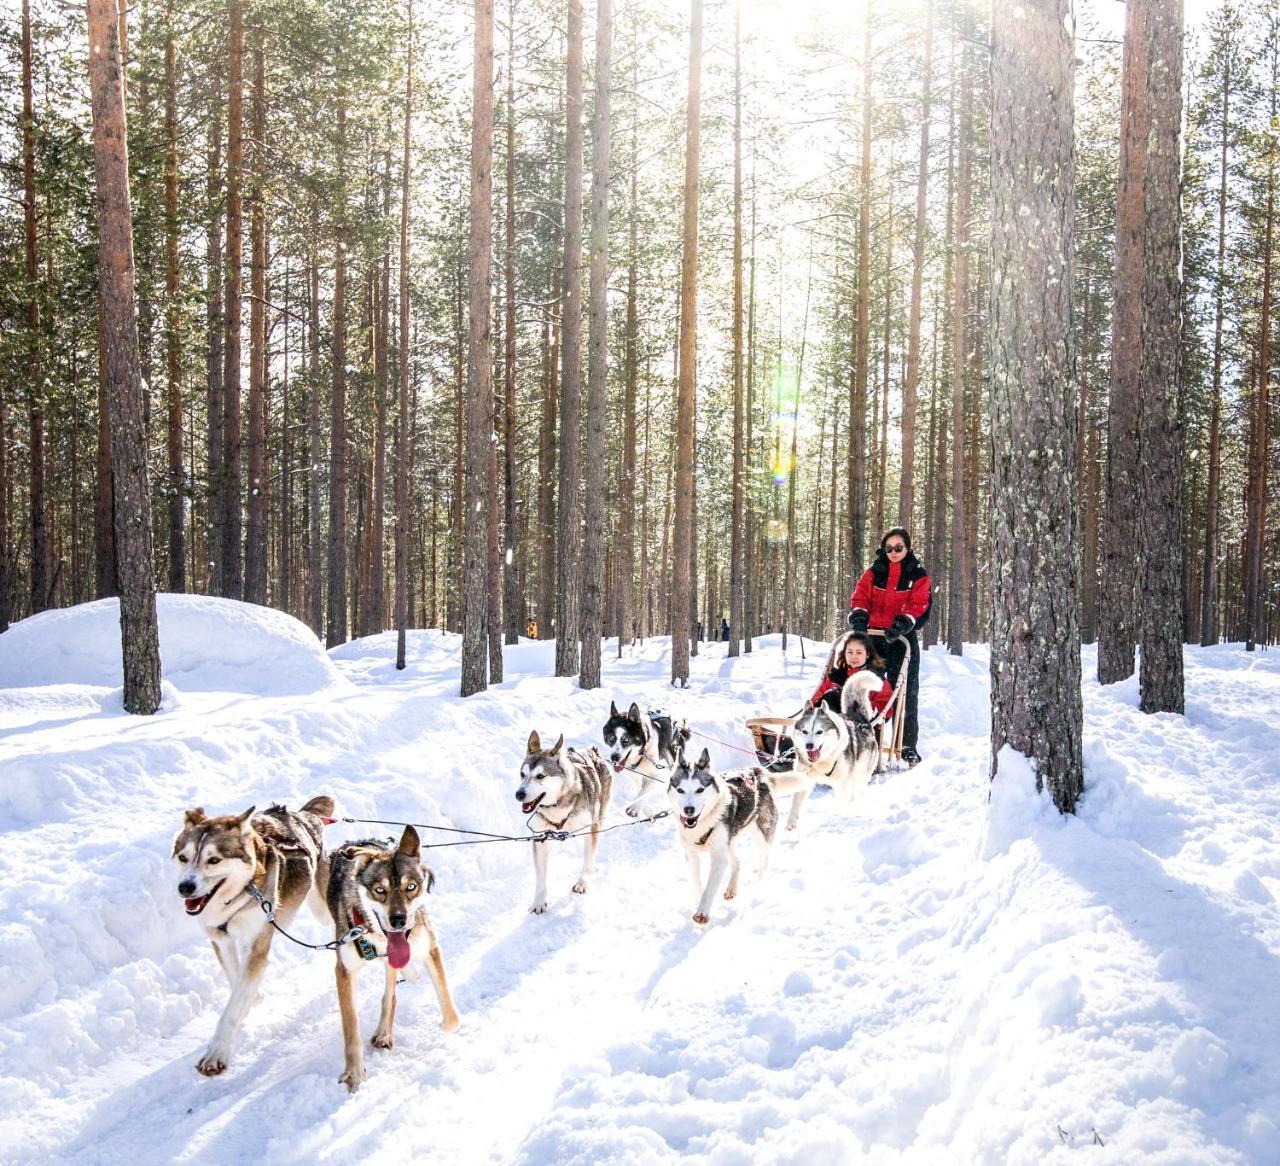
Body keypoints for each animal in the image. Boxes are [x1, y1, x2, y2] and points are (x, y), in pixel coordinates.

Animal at [175, 798, 335, 1080]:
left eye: (214, 860)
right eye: (183, 857)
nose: (185, 887)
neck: (239, 893)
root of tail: (302, 814)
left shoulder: (257, 945)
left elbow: (232, 1005)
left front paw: (216, 1053)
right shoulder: (221, 939)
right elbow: (235, 978)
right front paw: (253, 998)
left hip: (321, 908)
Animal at [325, 824, 460, 1090]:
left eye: (411, 887)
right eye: (380, 890)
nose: (399, 920)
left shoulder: (429, 946)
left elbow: (451, 1017)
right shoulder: (344, 971)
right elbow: (351, 1030)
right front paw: (354, 1073)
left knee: (390, 993)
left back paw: (385, 1031)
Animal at [517, 732, 611, 916]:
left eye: (540, 776)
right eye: (522, 774)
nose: (519, 794)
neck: (557, 805)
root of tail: (593, 752)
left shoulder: (591, 829)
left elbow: (588, 862)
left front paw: (583, 882)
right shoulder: (540, 838)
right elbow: (540, 878)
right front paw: (539, 902)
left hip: (600, 816)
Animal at [670, 747, 778, 931]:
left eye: (700, 790)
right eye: (680, 790)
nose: (688, 810)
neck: (703, 824)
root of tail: (755, 771)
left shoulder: (718, 858)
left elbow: (709, 888)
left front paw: (702, 914)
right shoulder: (691, 856)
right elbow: (698, 884)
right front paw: (699, 903)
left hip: (760, 833)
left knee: (764, 860)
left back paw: (758, 882)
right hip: (728, 841)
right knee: (737, 861)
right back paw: (731, 888)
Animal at [783, 675, 885, 829]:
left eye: (819, 732)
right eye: (805, 731)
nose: (809, 746)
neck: (822, 762)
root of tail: (859, 718)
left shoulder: (841, 784)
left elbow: (841, 802)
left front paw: (837, 817)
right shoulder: (803, 778)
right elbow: (796, 804)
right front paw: (791, 824)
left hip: (860, 774)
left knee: (856, 791)